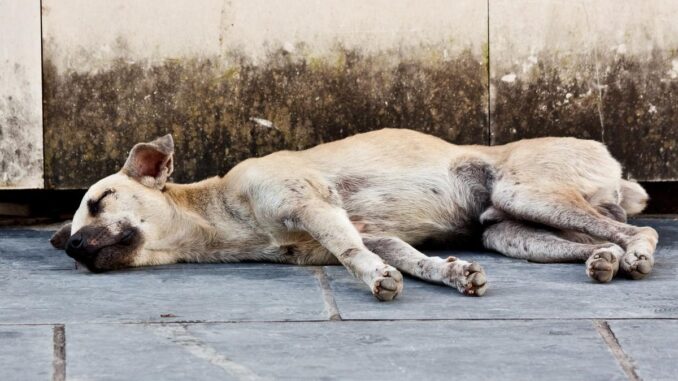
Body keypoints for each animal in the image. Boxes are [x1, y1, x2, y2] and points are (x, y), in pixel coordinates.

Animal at [51, 127, 660, 300]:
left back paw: (638, 252)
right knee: (597, 240)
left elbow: (350, 254)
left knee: (643, 227)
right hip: (511, 233)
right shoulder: (375, 234)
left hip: (525, 193)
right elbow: (409, 256)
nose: (73, 247)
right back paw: (607, 260)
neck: (223, 212)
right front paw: (451, 272)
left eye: (98, 201)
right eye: (72, 235)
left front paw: (374, 281)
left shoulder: (312, 205)